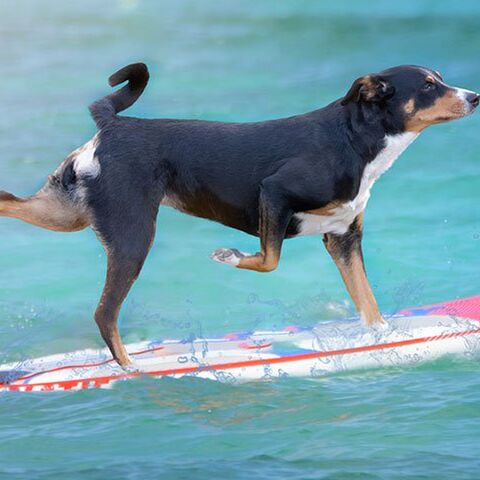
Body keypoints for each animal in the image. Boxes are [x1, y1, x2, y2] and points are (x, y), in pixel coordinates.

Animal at [0, 63, 476, 368]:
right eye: (429, 85)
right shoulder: (275, 193)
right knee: (105, 314)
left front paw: (384, 341)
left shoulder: (343, 238)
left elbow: (369, 306)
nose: (474, 96)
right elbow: (268, 260)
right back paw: (132, 369)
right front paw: (228, 256)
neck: (353, 139)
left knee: (10, 201)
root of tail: (113, 126)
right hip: (133, 236)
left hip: (67, 212)